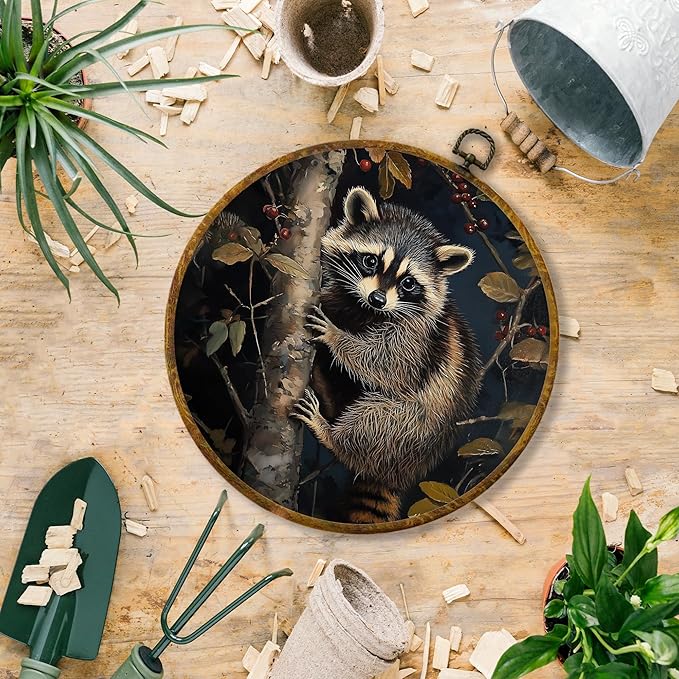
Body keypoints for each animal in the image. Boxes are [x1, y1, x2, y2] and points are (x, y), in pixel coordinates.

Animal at [292, 187, 482, 523]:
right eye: (370, 261)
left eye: (408, 282)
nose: (378, 299)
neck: (365, 311)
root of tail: (395, 473)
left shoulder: (416, 337)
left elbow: (389, 364)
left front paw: (336, 336)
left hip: (412, 429)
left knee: (373, 421)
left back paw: (331, 434)